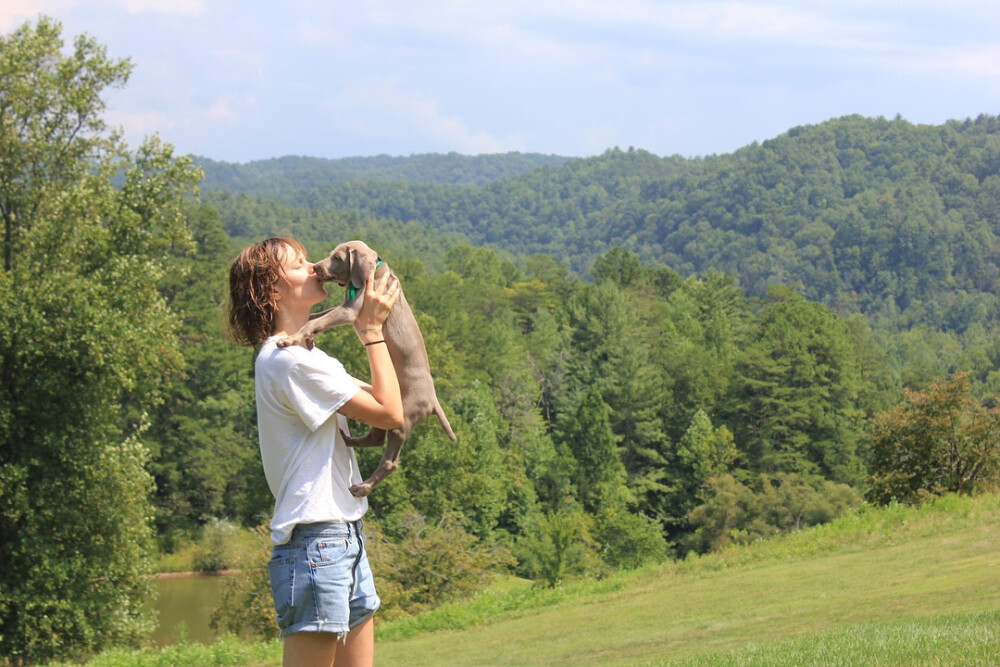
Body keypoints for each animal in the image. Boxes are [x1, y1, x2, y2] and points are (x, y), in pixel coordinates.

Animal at [278, 240, 458, 496]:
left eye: (337, 258)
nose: (315, 268)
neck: (370, 276)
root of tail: (432, 399)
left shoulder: (350, 310)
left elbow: (315, 321)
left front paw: (290, 339)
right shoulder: (345, 306)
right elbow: (314, 316)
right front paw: (306, 339)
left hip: (402, 418)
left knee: (390, 461)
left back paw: (362, 488)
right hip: (385, 407)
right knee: (376, 437)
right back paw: (350, 442)